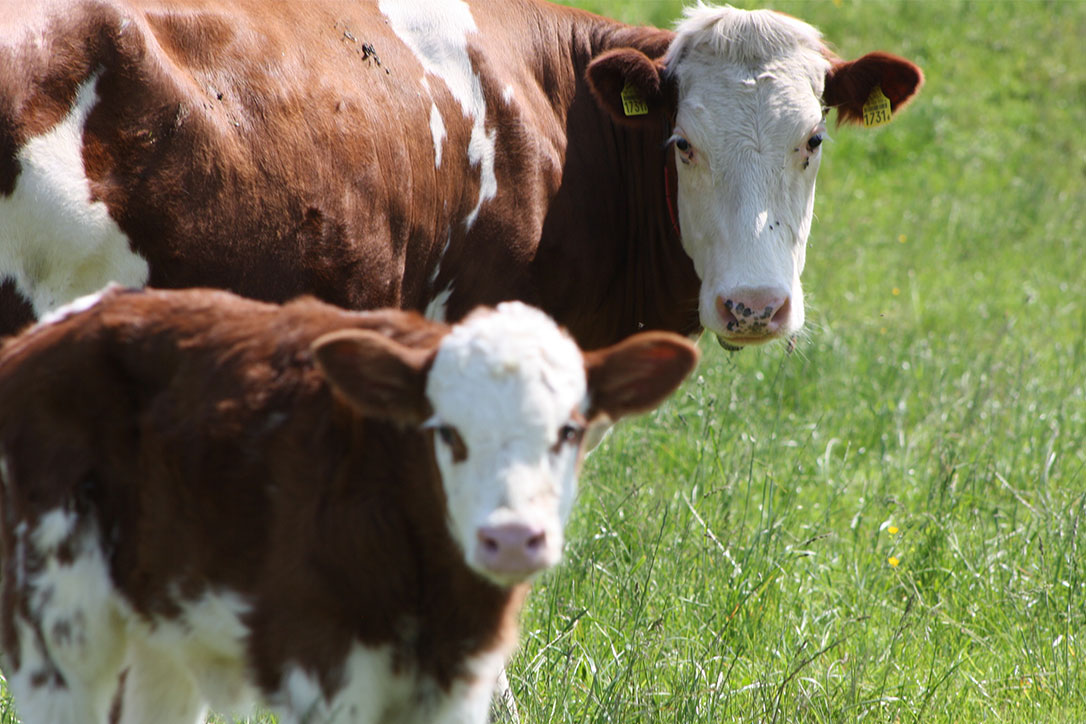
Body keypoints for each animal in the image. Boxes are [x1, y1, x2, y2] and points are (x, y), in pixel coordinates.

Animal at [0, 286, 695, 724]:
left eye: (569, 431)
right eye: (447, 432)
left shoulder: (458, 683)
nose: (512, 537)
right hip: (56, 629)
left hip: (160, 637)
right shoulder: (323, 666)